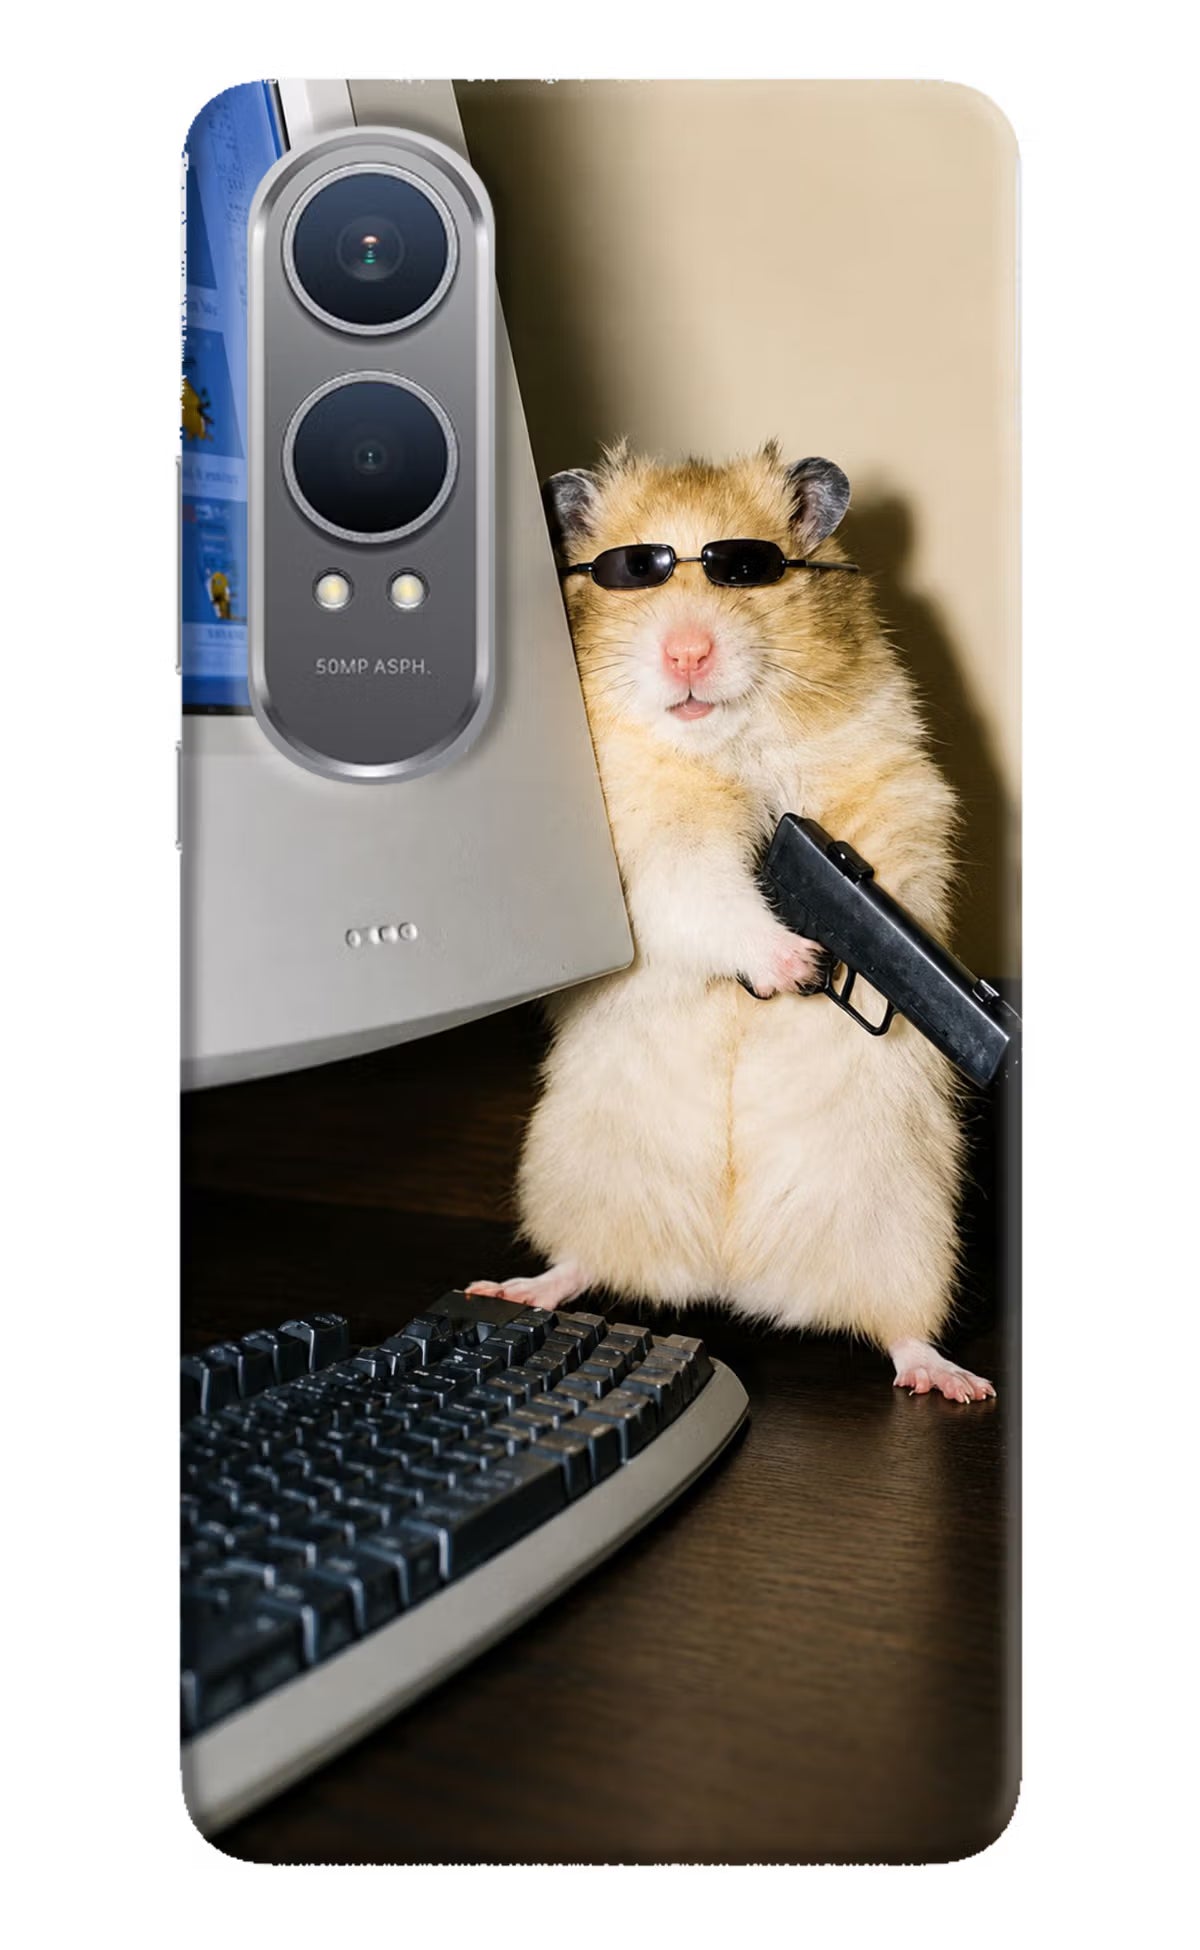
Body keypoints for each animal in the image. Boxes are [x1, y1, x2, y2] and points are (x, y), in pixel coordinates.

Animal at [468, 442, 994, 1402]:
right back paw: (515, 1288)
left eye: (746, 570)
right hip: (580, 1176)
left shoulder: (895, 789)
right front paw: (796, 964)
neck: (725, 746)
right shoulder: (648, 852)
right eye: (633, 572)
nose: (686, 653)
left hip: (907, 1229)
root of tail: (730, 1276)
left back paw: (954, 1382)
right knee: (582, 1263)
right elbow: (708, 896)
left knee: (900, 1329)